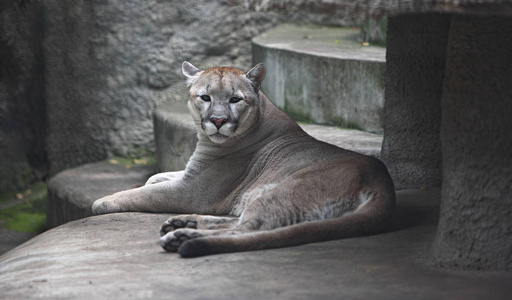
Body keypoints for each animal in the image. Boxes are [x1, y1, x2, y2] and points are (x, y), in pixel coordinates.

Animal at [92, 61, 396, 258]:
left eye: (235, 99)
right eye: (205, 97)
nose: (218, 120)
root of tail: (382, 182)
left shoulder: (193, 190)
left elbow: (145, 194)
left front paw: (103, 201)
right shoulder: (192, 174)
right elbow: (158, 177)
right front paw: (151, 180)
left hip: (285, 190)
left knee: (247, 228)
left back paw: (185, 237)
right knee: (239, 224)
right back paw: (182, 227)